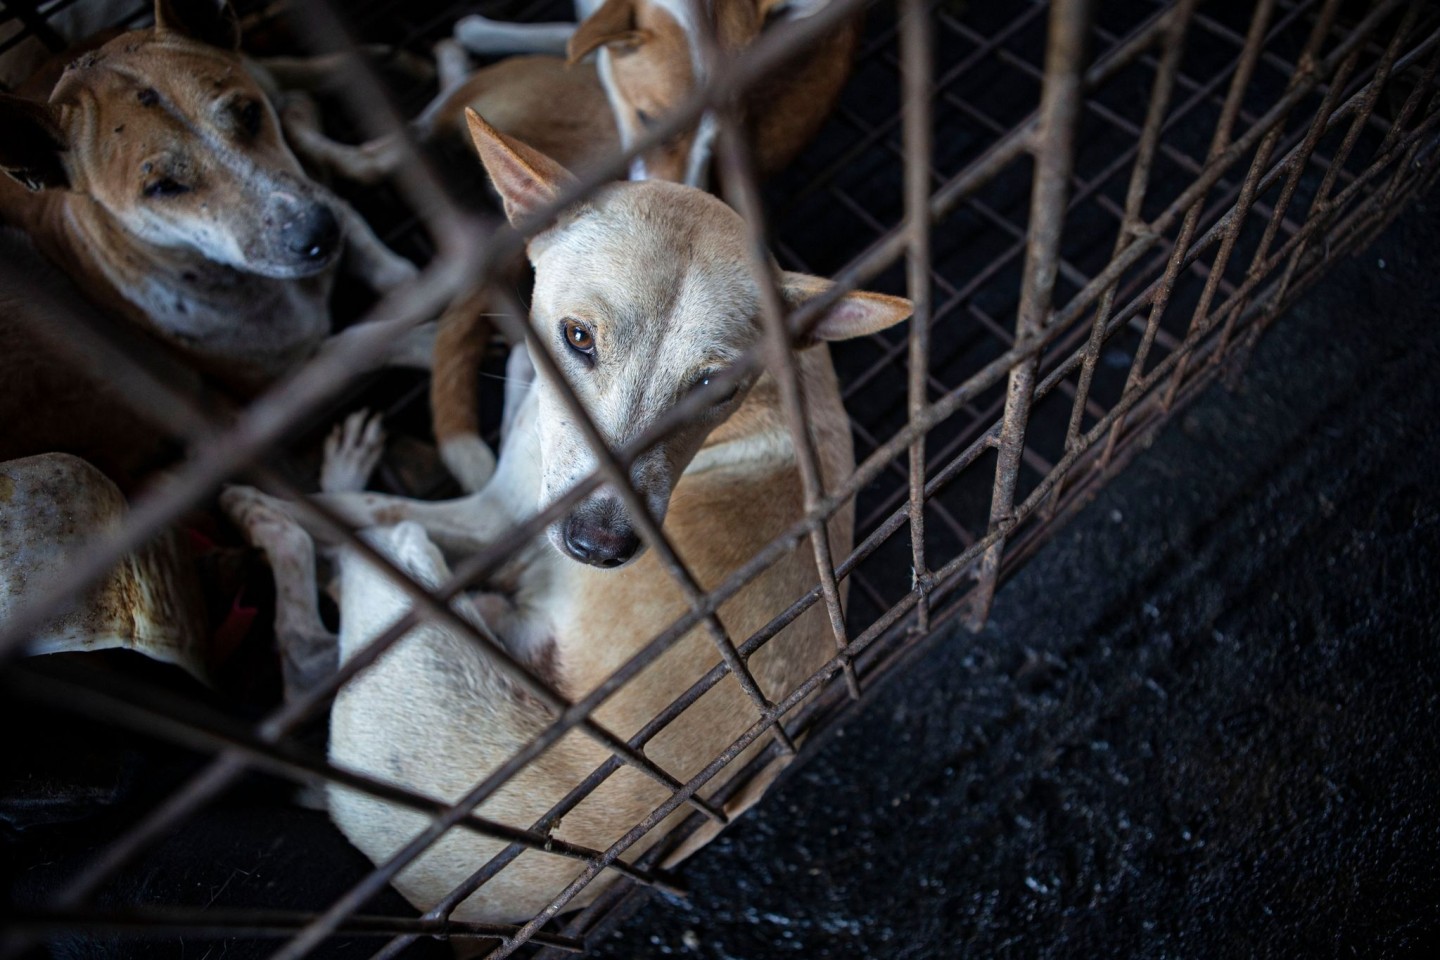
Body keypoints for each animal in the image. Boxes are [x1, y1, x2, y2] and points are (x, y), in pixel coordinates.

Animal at [0, 0, 420, 391]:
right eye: (162, 187)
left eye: (249, 113)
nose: (319, 232)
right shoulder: (273, 387)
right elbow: (363, 342)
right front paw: (421, 330)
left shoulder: (329, 204)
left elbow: (379, 256)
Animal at [218, 112, 904, 921]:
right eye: (578, 337)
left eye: (717, 388)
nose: (599, 546)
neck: (787, 382)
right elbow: (510, 359)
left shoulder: (496, 517)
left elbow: (352, 509)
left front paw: (263, 492)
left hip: (411, 585)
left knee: (316, 633)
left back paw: (285, 523)